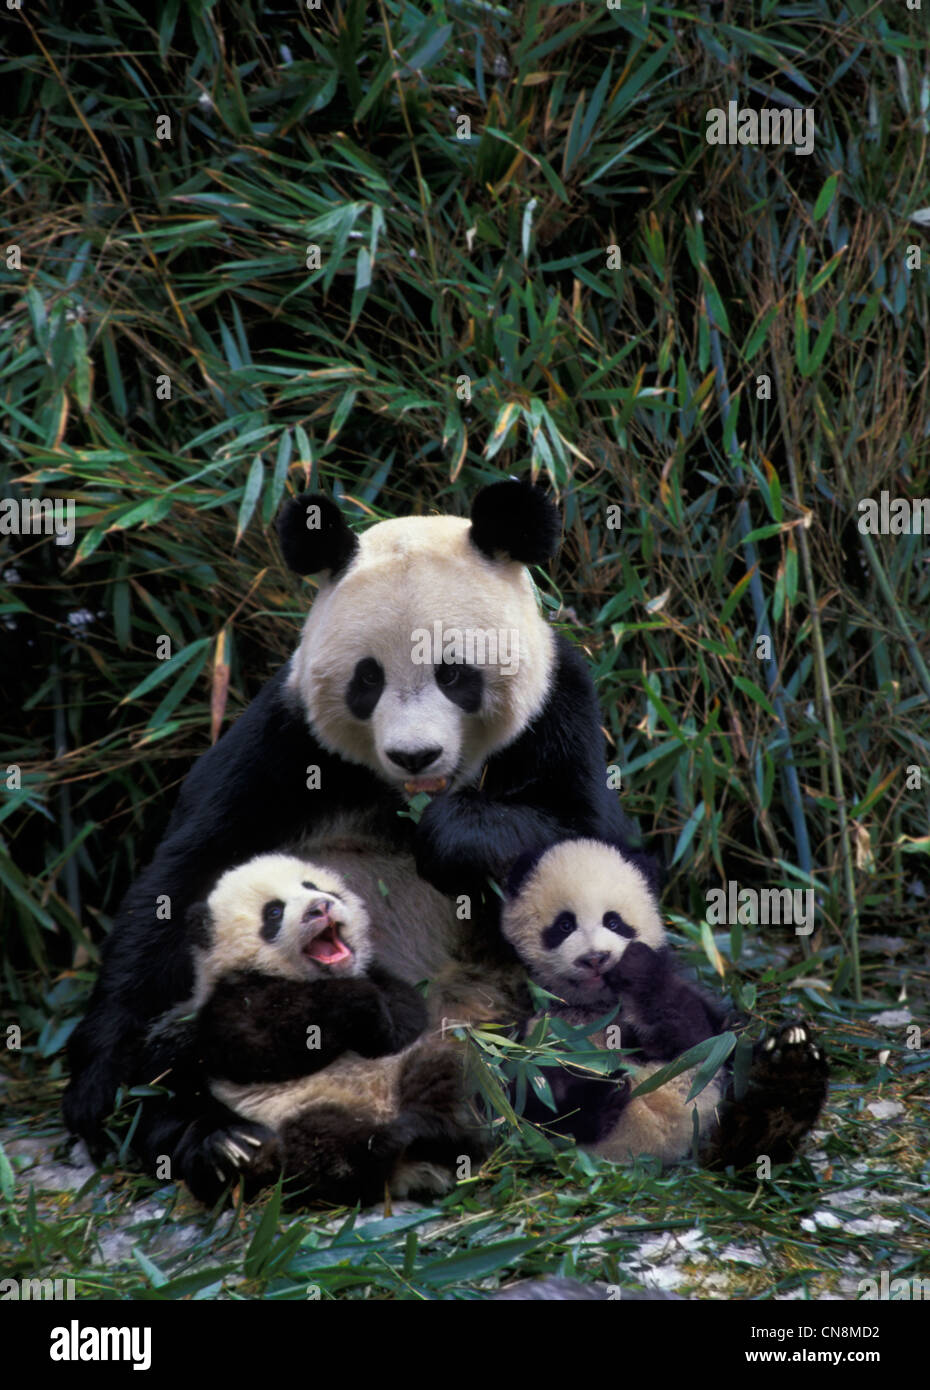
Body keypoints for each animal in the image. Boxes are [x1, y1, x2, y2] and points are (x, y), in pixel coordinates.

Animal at [146, 853, 480, 1206]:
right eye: (274, 912)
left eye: (312, 886)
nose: (320, 907)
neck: (306, 978)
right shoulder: (230, 998)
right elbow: (260, 1047)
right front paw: (348, 1002)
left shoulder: (378, 975)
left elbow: (406, 1016)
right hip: (299, 1110)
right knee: (324, 1146)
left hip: (415, 1068)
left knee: (446, 1076)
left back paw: (437, 1132)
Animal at [500, 839, 829, 1168]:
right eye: (565, 925)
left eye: (614, 922)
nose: (595, 958)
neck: (593, 1004)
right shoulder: (527, 1018)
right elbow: (520, 1091)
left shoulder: (680, 996)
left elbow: (694, 1035)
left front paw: (636, 965)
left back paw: (789, 1068)